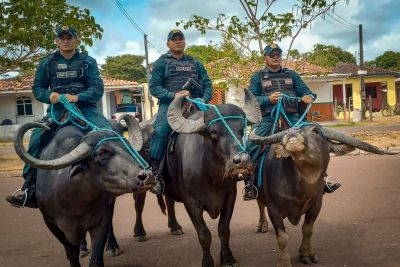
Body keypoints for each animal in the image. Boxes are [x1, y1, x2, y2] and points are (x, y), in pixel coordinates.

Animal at [13, 116, 154, 267]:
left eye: (127, 146)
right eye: (102, 153)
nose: (147, 175)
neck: (76, 200)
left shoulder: (101, 221)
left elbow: (96, 258)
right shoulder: (52, 224)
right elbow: (71, 253)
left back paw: (112, 246)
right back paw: (83, 248)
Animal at [250, 124, 396, 266]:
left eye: (315, 131)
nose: (291, 132)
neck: (299, 188)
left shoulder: (316, 205)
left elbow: (307, 230)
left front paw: (306, 254)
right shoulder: (274, 209)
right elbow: (283, 238)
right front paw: (284, 262)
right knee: (260, 204)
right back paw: (262, 225)